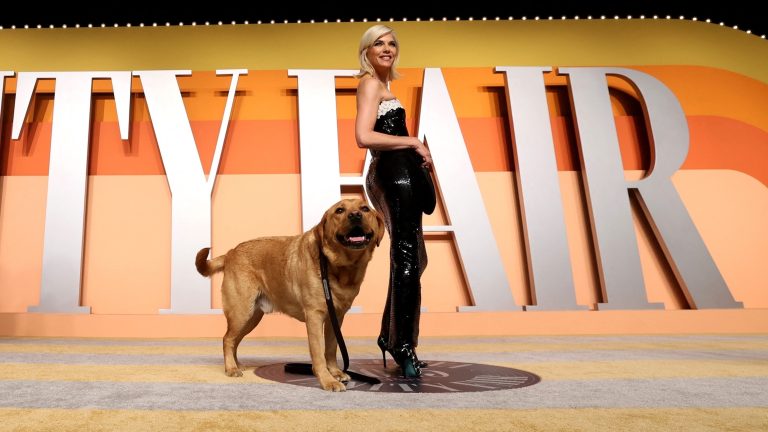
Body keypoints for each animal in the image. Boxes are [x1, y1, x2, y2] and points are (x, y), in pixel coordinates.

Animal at [194, 199, 382, 392]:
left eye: (365, 208)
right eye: (339, 211)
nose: (355, 215)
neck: (340, 267)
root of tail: (231, 252)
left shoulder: (335, 318)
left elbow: (330, 349)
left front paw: (336, 372)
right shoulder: (314, 317)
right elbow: (319, 354)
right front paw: (327, 380)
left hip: (251, 317)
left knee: (234, 340)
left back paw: (236, 365)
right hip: (241, 312)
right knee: (227, 339)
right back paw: (231, 368)